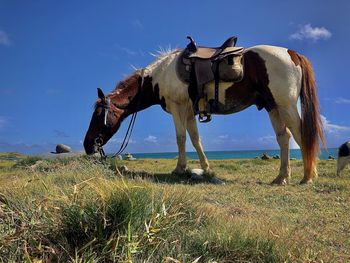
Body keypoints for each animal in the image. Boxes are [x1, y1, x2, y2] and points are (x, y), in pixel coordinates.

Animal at [84, 44, 326, 186]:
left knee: (301, 135)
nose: (88, 146)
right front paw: (206, 168)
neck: (159, 76)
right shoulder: (190, 112)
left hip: (285, 105)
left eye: (98, 115)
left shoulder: (178, 108)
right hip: (272, 106)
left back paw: (307, 176)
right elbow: (195, 139)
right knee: (284, 138)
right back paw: (281, 177)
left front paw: (179, 169)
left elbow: (181, 138)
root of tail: (292, 54)